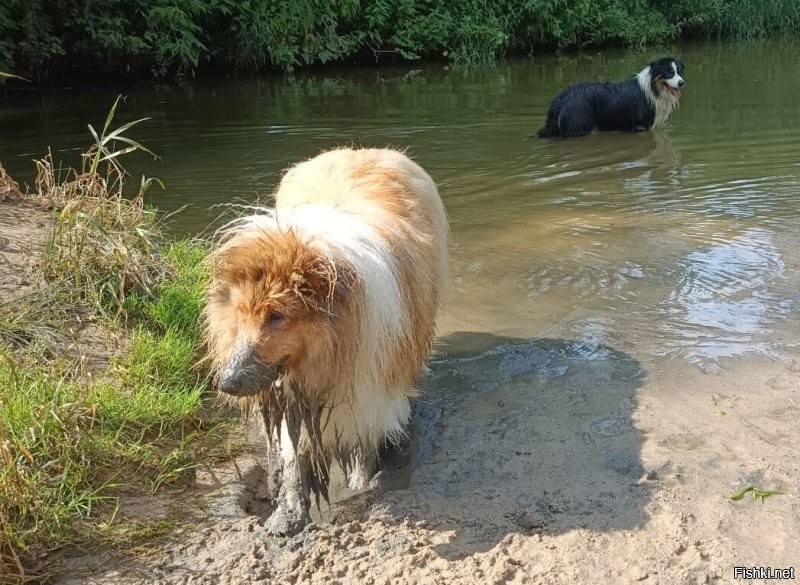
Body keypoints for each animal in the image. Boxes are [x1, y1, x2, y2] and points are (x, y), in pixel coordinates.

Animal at [202, 146, 450, 532]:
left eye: (277, 316)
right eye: (240, 311)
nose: (226, 383)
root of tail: (361, 148)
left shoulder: (370, 385)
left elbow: (365, 438)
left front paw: (361, 485)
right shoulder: (290, 391)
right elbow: (293, 455)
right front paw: (288, 514)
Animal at [536, 56, 684, 139]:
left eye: (679, 72)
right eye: (669, 73)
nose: (681, 83)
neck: (653, 88)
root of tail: (560, 98)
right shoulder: (640, 127)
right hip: (578, 126)